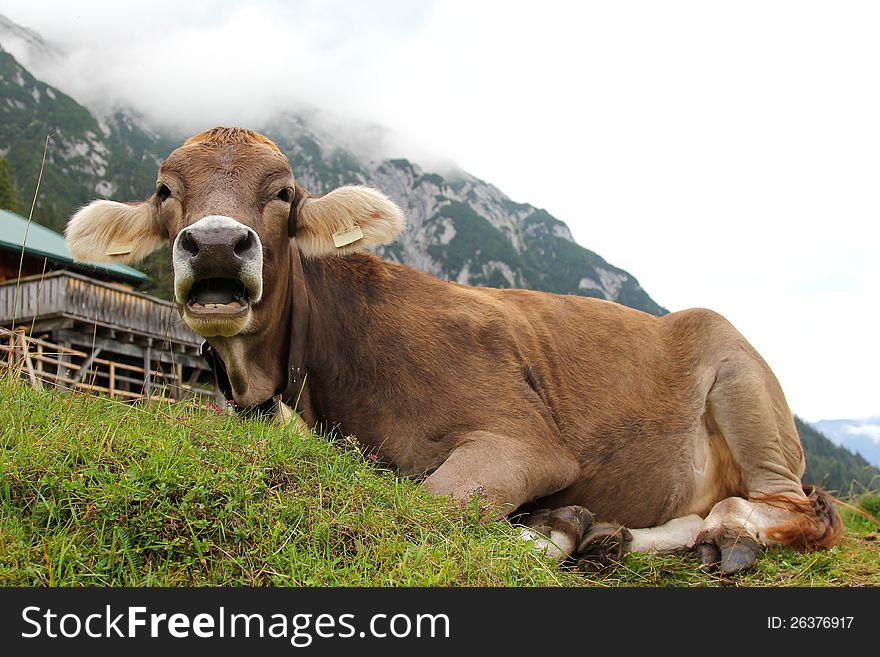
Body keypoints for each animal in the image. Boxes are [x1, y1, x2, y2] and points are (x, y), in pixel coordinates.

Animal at [65, 125, 844, 572]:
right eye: (165, 190)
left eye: (283, 192)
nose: (219, 244)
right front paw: (568, 526)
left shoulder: (524, 441)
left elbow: (416, 507)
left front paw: (547, 531)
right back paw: (608, 532)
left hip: (742, 385)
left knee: (788, 510)